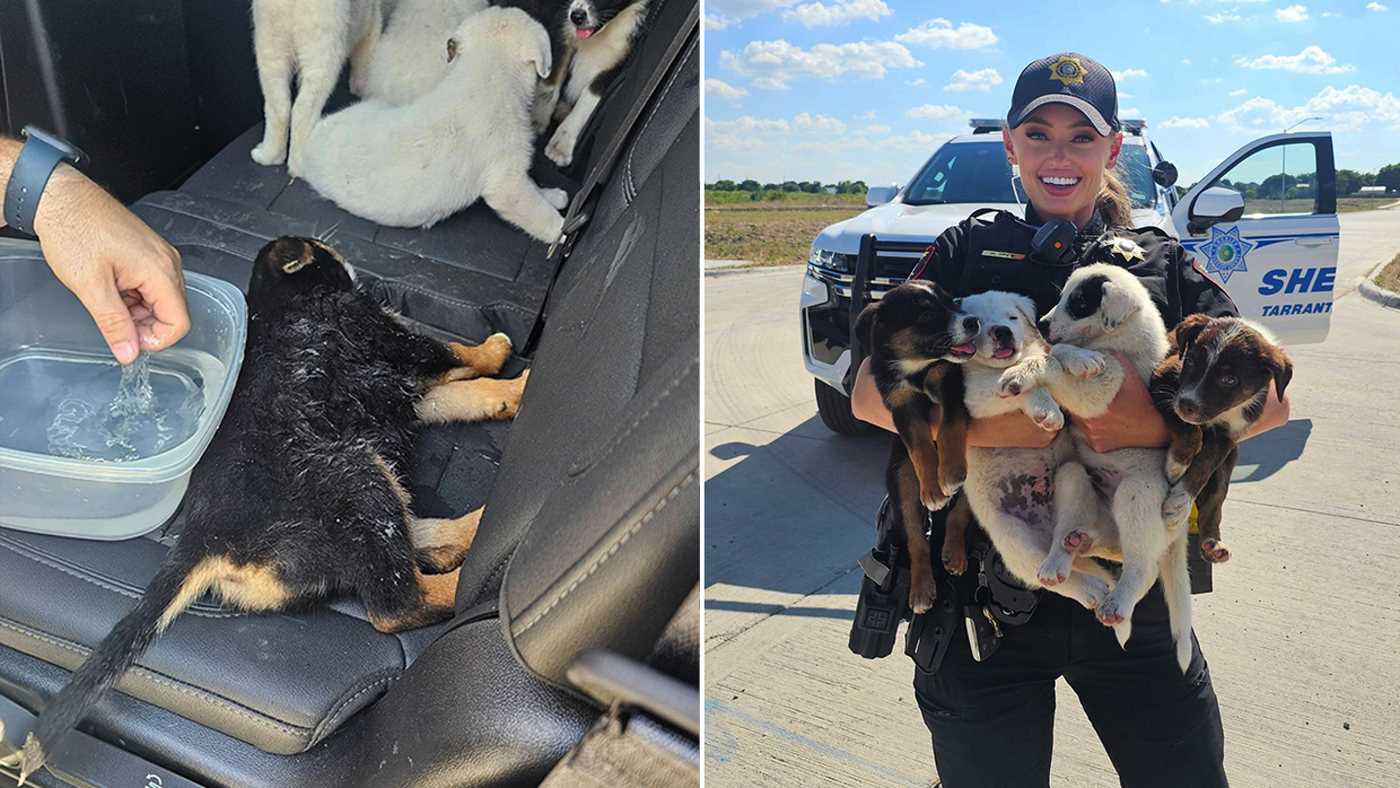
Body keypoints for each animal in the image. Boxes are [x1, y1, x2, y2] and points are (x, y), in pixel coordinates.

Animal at [249, 0, 383, 175]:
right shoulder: (370, 22)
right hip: (323, 48)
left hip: (270, 43)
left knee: (279, 108)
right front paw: (362, 90)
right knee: (302, 112)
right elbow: (364, 64)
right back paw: (300, 166)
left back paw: (268, 155)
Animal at [301, 7, 568, 242]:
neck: (489, 71)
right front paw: (562, 231)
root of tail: (312, 139)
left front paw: (552, 196)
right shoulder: (507, 183)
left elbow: (533, 187)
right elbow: (537, 212)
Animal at [845, 279, 980, 613]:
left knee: (959, 515)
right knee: (917, 540)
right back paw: (920, 589)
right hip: (901, 482)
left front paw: (950, 472)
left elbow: (949, 427)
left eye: (952, 301)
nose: (973, 321)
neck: (916, 368)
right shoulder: (901, 406)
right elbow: (919, 447)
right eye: (926, 315)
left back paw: (954, 553)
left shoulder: (951, 385)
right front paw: (932, 489)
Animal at [1148, 312, 1288, 565]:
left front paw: (1179, 504)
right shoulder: (1164, 380)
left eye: (1229, 379)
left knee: (1214, 501)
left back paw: (1213, 543)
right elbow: (1191, 432)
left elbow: (1203, 467)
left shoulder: (1228, 437)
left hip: (1227, 465)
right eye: (1191, 362)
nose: (1187, 405)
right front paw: (1177, 464)